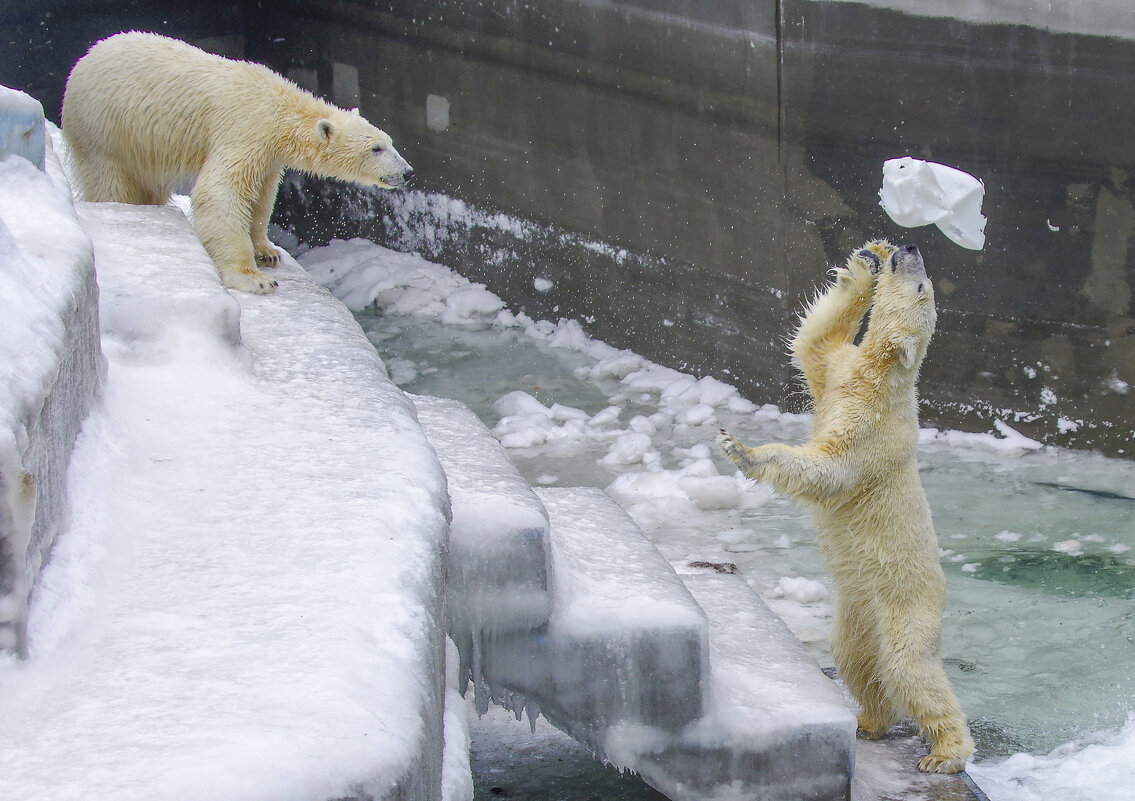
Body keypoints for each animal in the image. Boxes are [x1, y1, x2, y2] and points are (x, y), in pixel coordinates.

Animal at [61, 33, 413, 292]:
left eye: (391, 142)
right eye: (376, 148)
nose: (407, 172)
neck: (278, 106)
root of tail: (84, 59)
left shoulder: (269, 154)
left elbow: (261, 197)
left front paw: (267, 250)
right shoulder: (245, 129)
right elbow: (222, 193)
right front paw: (254, 278)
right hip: (106, 132)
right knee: (112, 182)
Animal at [717, 240, 976, 771]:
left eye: (924, 287)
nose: (911, 246)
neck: (880, 377)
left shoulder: (871, 430)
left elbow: (829, 470)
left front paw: (741, 448)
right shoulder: (839, 373)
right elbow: (814, 342)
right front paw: (865, 263)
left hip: (906, 606)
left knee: (910, 668)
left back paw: (945, 753)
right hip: (858, 614)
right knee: (858, 661)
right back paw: (868, 721)